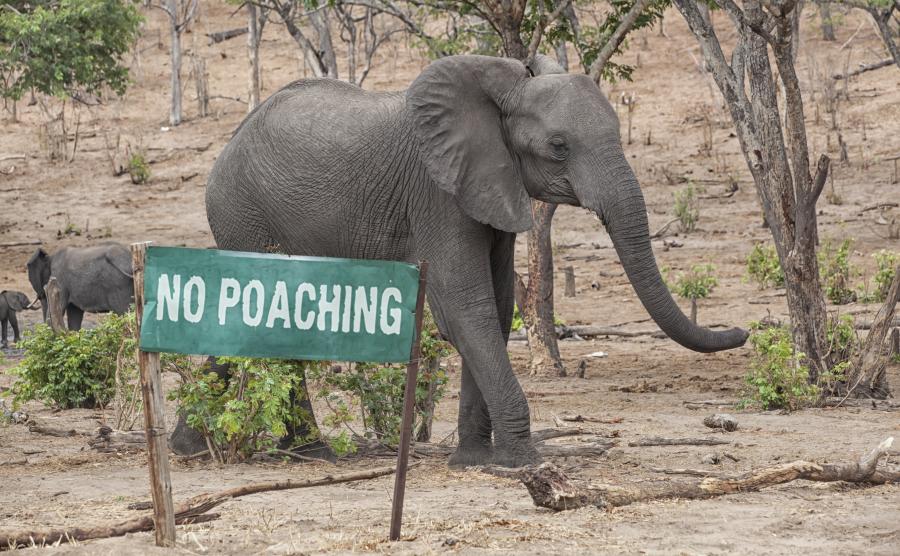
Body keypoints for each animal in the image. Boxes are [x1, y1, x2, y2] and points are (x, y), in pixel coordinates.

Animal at [200, 54, 748, 466]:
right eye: (558, 147)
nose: (743, 331)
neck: (500, 96)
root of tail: (229, 141)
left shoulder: (492, 187)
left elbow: (498, 307)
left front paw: (473, 460)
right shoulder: (437, 193)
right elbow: (470, 308)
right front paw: (521, 463)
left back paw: (291, 451)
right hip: (241, 211)